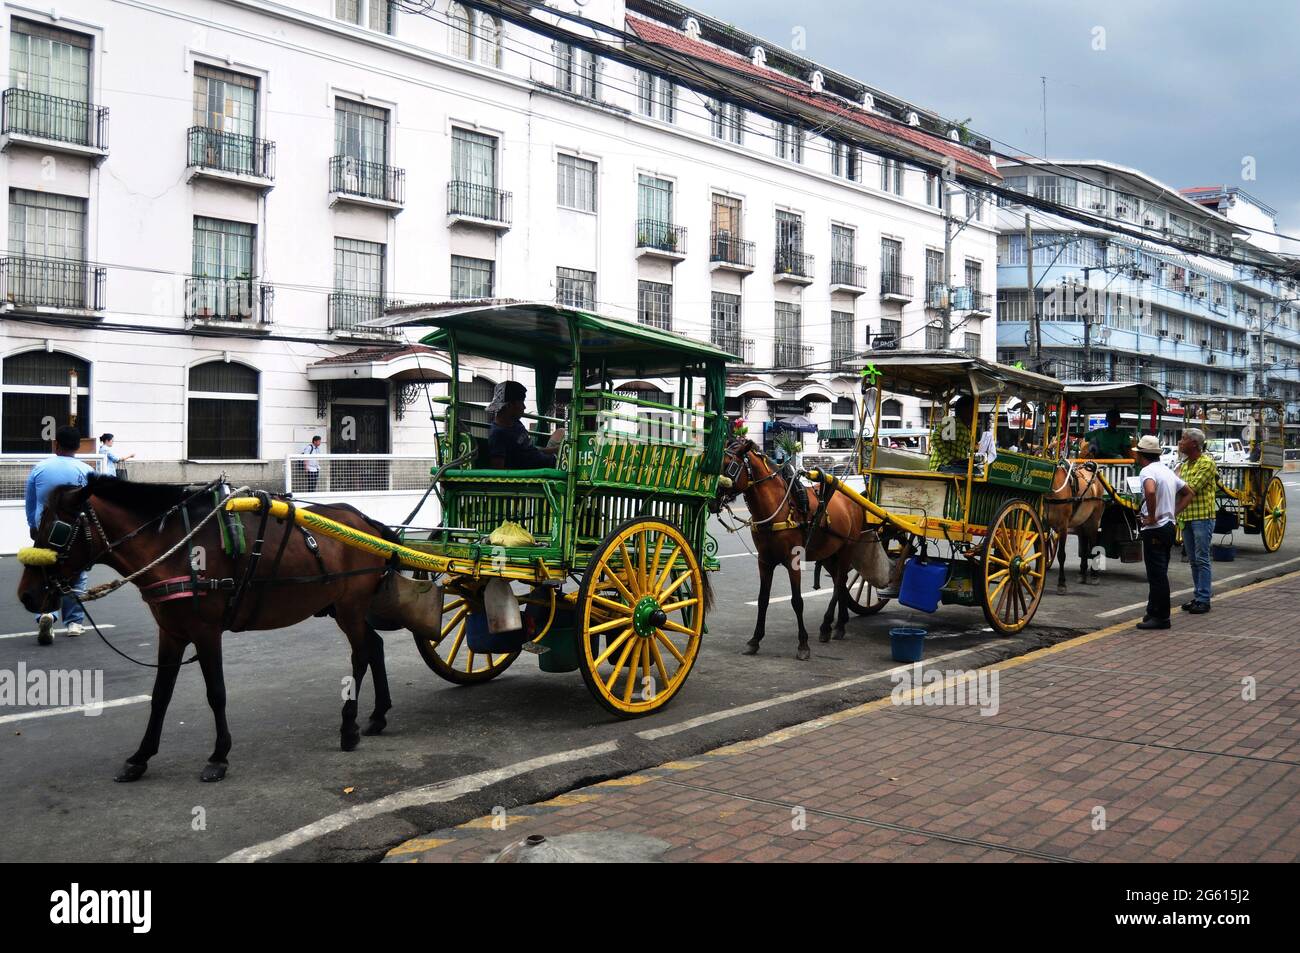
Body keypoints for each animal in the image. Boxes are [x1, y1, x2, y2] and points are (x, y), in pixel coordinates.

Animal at [17, 475, 392, 780]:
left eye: (56, 530)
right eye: (35, 528)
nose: (27, 595)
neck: (176, 549)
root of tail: (365, 523)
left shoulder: (205, 632)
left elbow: (216, 693)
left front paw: (219, 756)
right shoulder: (171, 633)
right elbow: (160, 696)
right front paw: (141, 756)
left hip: (350, 606)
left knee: (360, 656)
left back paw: (349, 726)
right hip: (340, 608)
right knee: (374, 647)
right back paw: (377, 716)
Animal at [717, 439, 868, 657]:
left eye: (730, 466)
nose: (712, 499)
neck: (777, 507)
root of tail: (852, 499)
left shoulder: (793, 561)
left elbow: (797, 601)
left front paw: (803, 644)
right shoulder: (764, 561)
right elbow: (762, 599)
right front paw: (755, 639)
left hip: (847, 548)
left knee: (840, 583)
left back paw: (829, 625)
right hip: (830, 553)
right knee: (840, 582)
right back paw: (839, 623)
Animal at [1040, 460, 1102, 590]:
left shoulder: (1063, 526)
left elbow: (1061, 555)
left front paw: (1061, 583)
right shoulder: (1044, 525)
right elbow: (1042, 550)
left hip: (1094, 520)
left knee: (1093, 542)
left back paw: (1094, 575)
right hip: (1081, 521)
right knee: (1083, 542)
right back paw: (1082, 572)